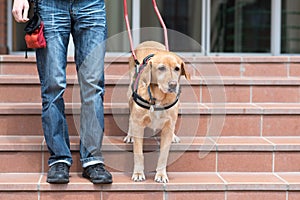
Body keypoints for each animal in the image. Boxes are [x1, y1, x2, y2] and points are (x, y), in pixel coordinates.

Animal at [123, 41, 190, 183]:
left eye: (177, 68)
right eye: (161, 68)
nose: (173, 84)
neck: (159, 98)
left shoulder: (167, 128)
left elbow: (163, 155)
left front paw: (161, 174)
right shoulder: (139, 125)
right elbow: (139, 154)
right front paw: (138, 173)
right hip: (130, 93)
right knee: (131, 117)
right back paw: (130, 135)